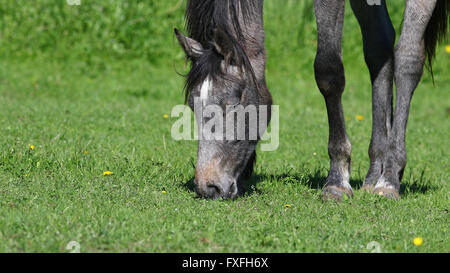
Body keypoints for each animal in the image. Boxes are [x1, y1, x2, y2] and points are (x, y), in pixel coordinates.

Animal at [174, 0, 448, 200]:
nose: (207, 187)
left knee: (408, 57)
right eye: (192, 105)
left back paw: (389, 178)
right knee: (378, 47)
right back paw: (375, 173)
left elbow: (328, 71)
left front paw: (337, 181)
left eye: (231, 104)